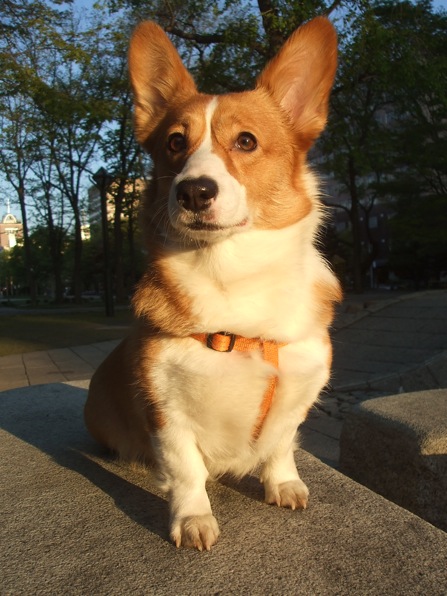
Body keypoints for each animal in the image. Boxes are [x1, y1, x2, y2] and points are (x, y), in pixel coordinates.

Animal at [84, 16, 341, 551]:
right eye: (174, 143)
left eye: (245, 141)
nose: (194, 191)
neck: (232, 274)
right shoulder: (165, 408)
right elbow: (185, 469)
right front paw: (193, 518)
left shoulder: (299, 391)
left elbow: (282, 443)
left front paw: (283, 484)